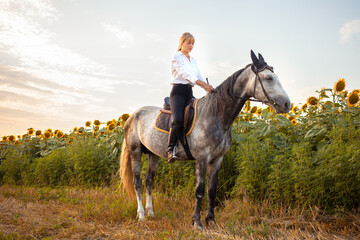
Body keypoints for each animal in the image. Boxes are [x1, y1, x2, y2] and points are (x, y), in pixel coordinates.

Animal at [119, 49, 292, 230]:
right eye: (268, 78)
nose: (287, 104)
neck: (216, 113)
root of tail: (132, 115)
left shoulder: (217, 159)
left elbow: (212, 191)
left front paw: (211, 220)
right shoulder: (202, 158)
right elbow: (200, 190)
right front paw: (197, 222)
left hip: (153, 154)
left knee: (149, 181)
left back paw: (151, 212)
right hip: (135, 152)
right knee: (137, 182)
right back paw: (141, 215)